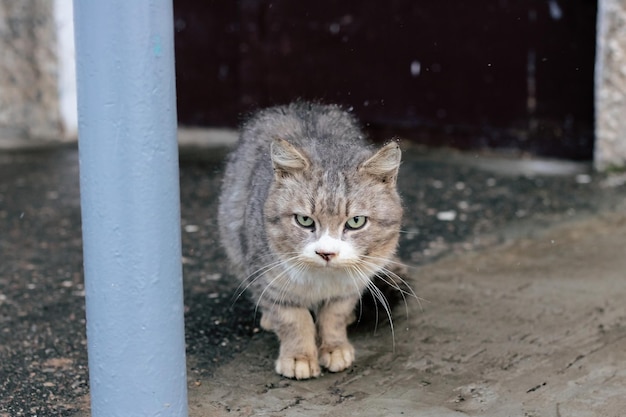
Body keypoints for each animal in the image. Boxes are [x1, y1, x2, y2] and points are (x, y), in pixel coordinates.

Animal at [217, 101, 402, 380]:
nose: (326, 253)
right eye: (304, 220)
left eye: (356, 222)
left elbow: (334, 315)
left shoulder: (352, 283)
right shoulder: (271, 278)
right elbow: (293, 319)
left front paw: (335, 346)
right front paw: (299, 356)